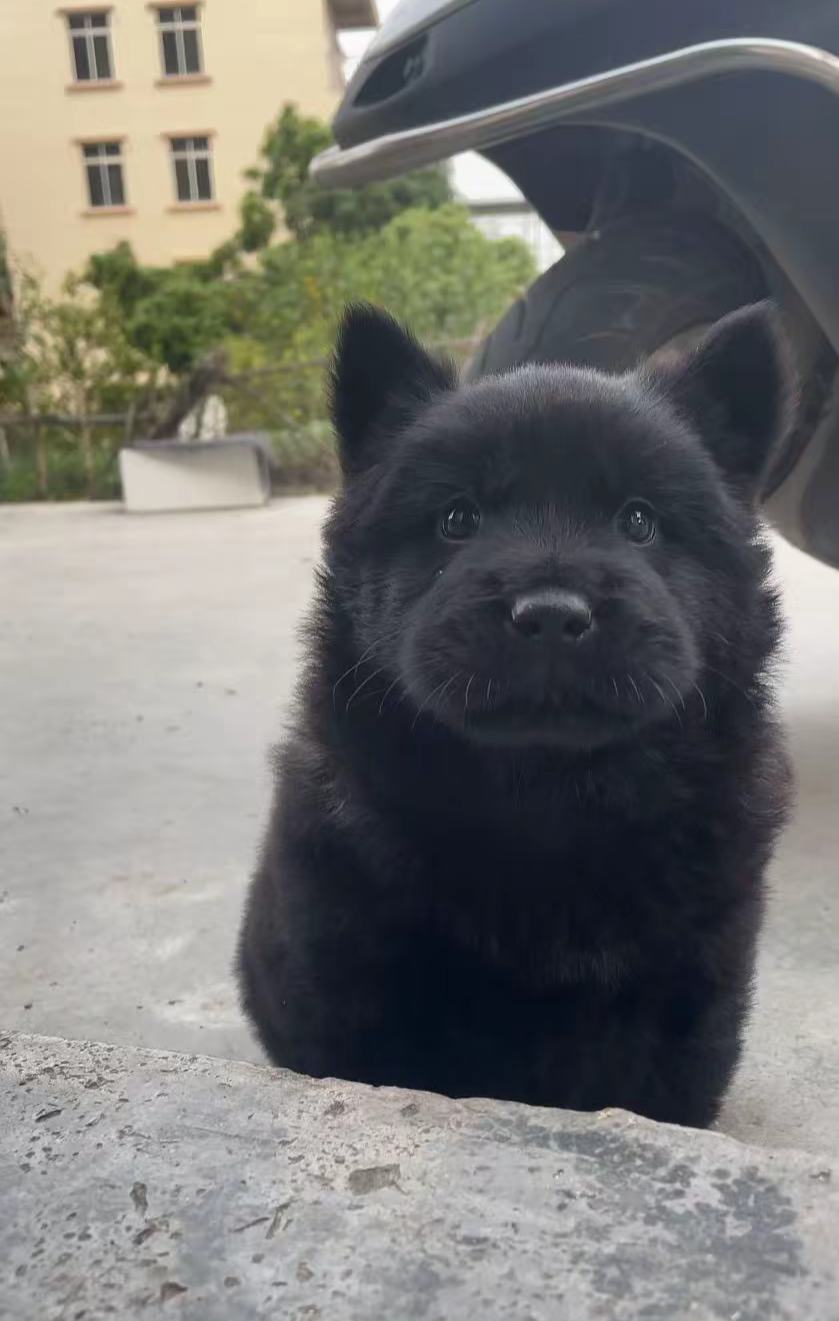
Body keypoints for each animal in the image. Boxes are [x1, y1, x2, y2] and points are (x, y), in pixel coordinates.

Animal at [238, 301, 792, 1127]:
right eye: (457, 518)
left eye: (637, 520)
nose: (553, 614)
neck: (543, 796)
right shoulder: (348, 980)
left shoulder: (687, 1003)